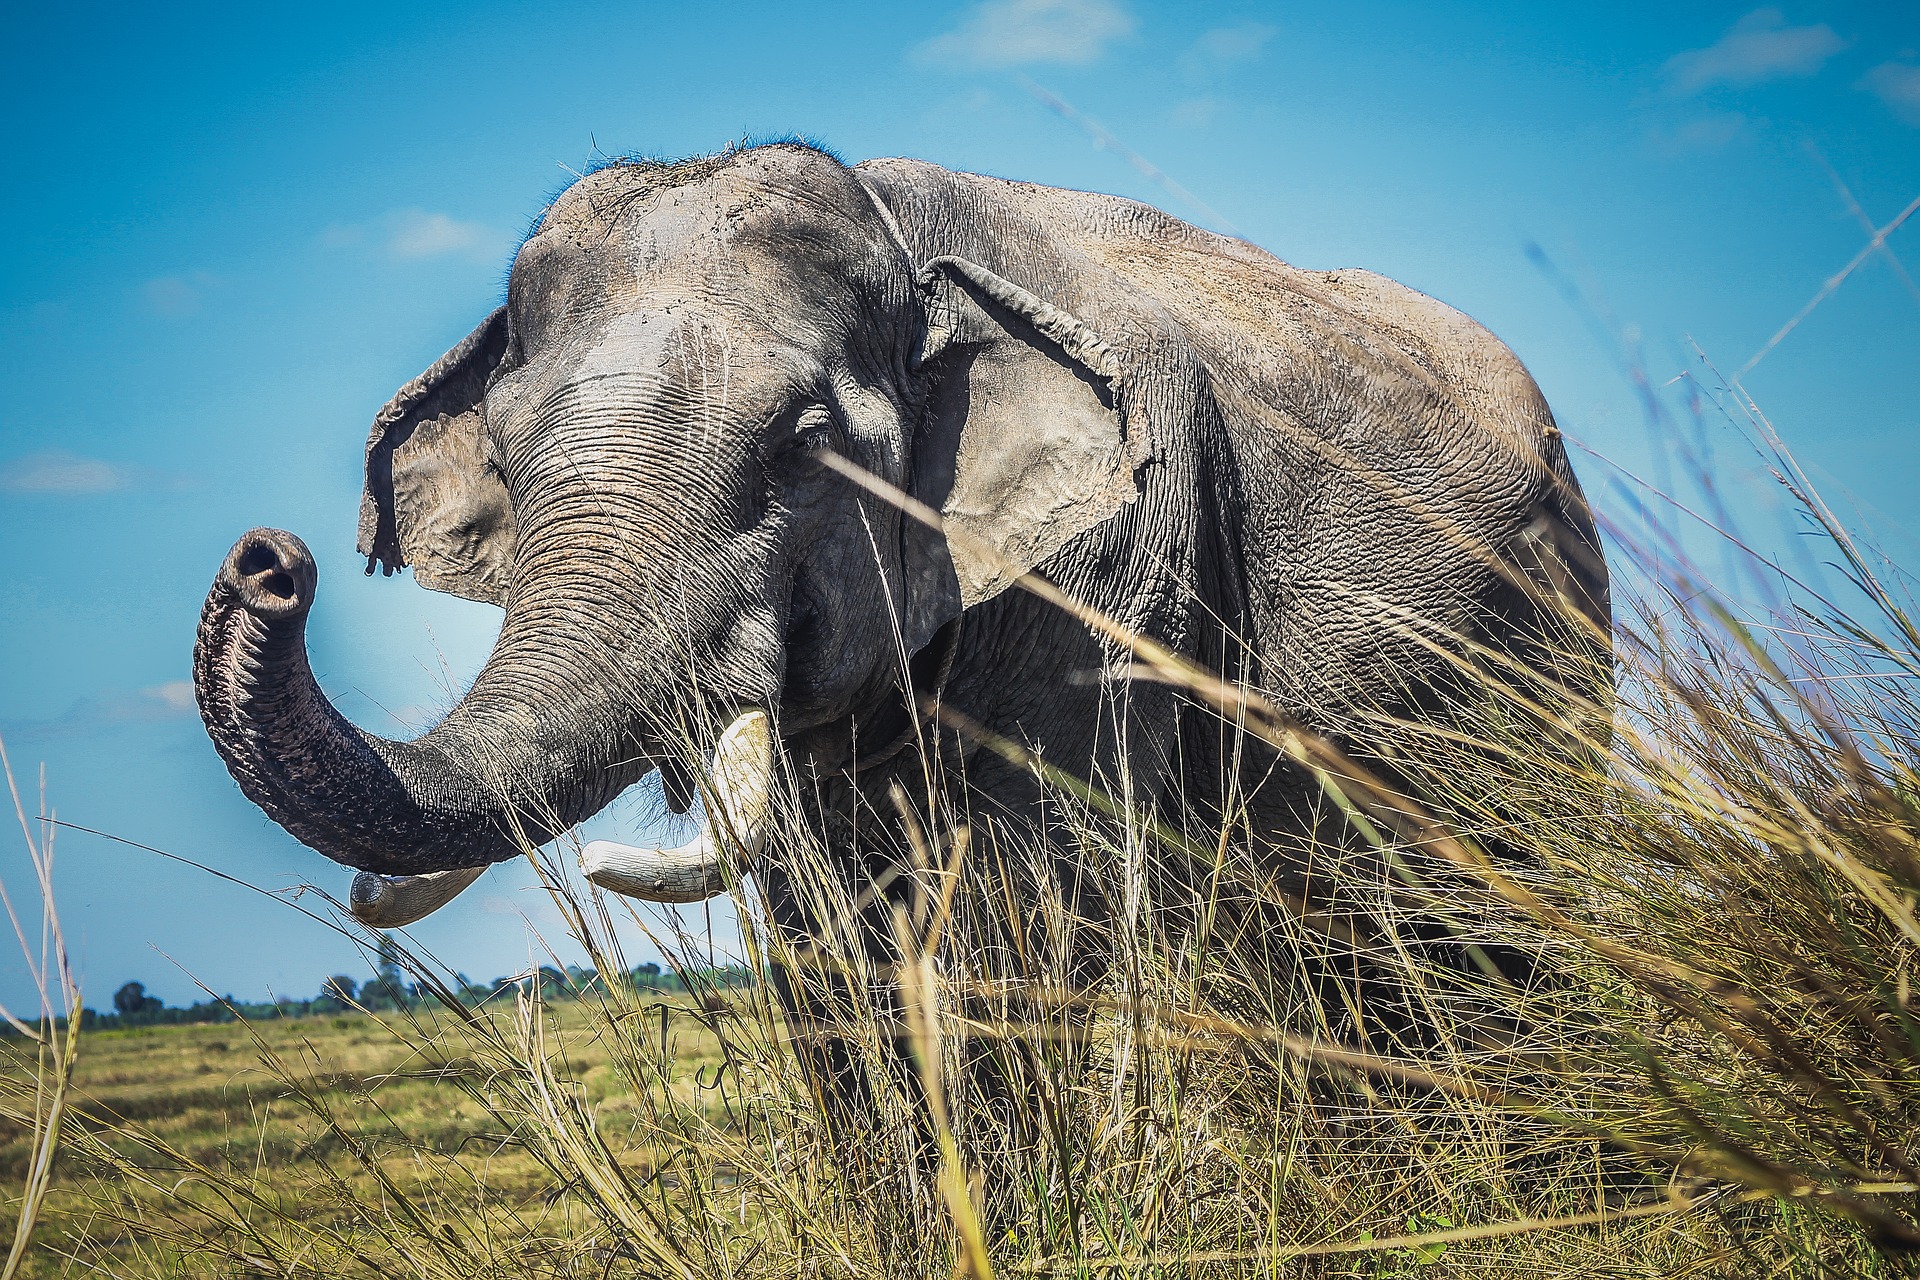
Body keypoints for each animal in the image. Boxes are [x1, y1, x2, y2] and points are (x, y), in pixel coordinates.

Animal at [191, 140, 1605, 1136]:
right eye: (506, 451)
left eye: (804, 448)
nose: (271, 562)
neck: (898, 233)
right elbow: (821, 931)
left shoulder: (1113, 565)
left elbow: (1028, 905)